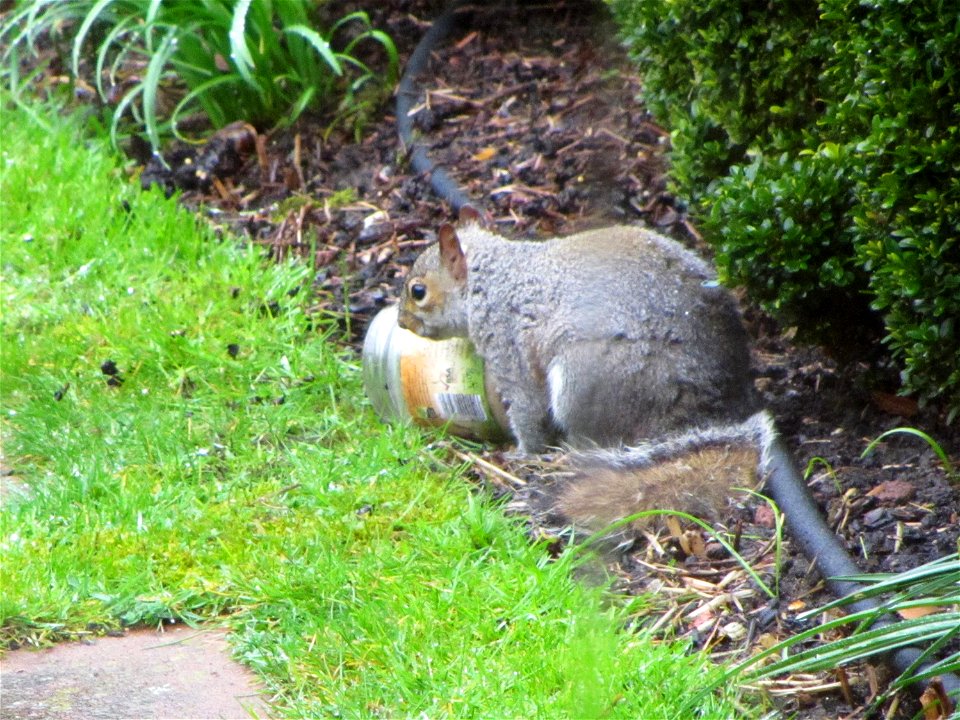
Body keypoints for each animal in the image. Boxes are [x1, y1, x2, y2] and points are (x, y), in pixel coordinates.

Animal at [398, 208, 772, 528]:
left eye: (418, 291)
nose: (402, 323)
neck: (493, 283)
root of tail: (710, 405)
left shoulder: (509, 347)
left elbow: (527, 409)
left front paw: (522, 454)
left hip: (585, 380)